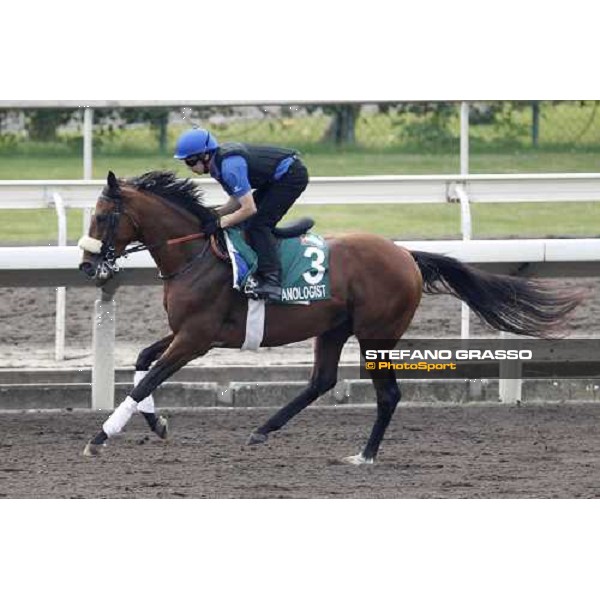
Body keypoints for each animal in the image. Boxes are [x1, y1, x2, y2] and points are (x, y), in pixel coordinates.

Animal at [78, 172, 580, 464]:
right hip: (335, 328)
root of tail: (405, 254)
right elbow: (143, 361)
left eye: (102, 216)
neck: (197, 255)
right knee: (321, 381)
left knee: (387, 394)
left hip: (376, 334)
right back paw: (262, 431)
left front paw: (101, 436)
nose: (86, 266)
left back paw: (366, 455)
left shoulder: (196, 337)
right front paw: (156, 424)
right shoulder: (184, 333)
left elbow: (147, 377)